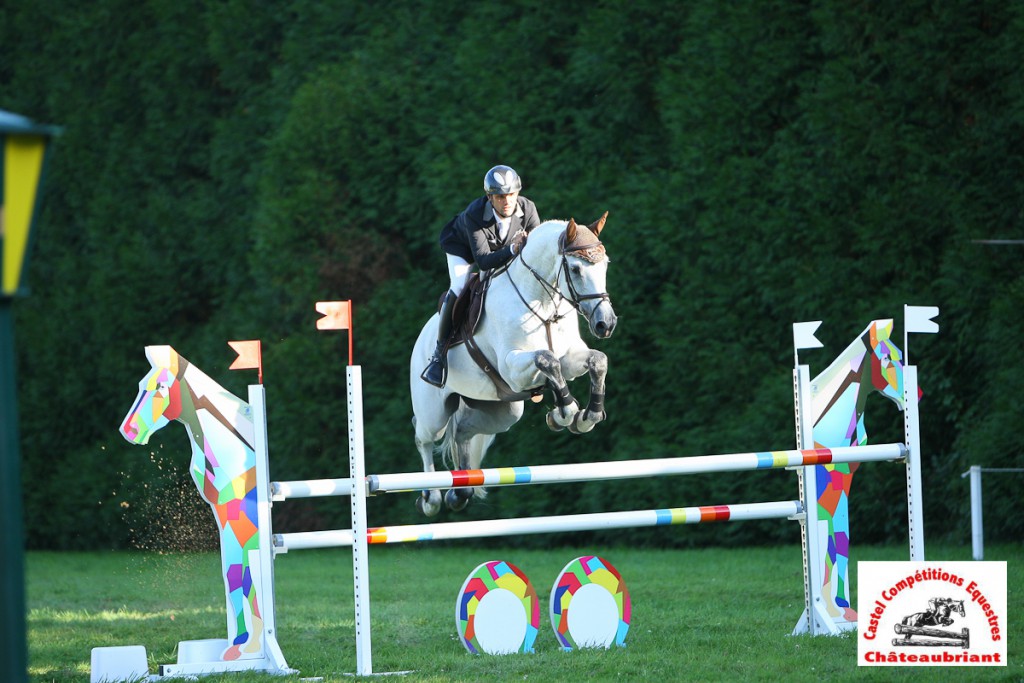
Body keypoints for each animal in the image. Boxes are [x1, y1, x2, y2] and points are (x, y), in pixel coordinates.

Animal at [409, 210, 614, 516]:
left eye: (605, 266)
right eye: (576, 269)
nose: (606, 324)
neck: (543, 303)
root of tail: (421, 339)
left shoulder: (569, 358)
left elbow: (596, 361)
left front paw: (585, 416)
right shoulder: (512, 369)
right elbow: (546, 360)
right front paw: (566, 412)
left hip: (504, 410)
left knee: (463, 431)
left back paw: (460, 492)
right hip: (434, 412)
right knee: (423, 436)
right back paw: (431, 498)